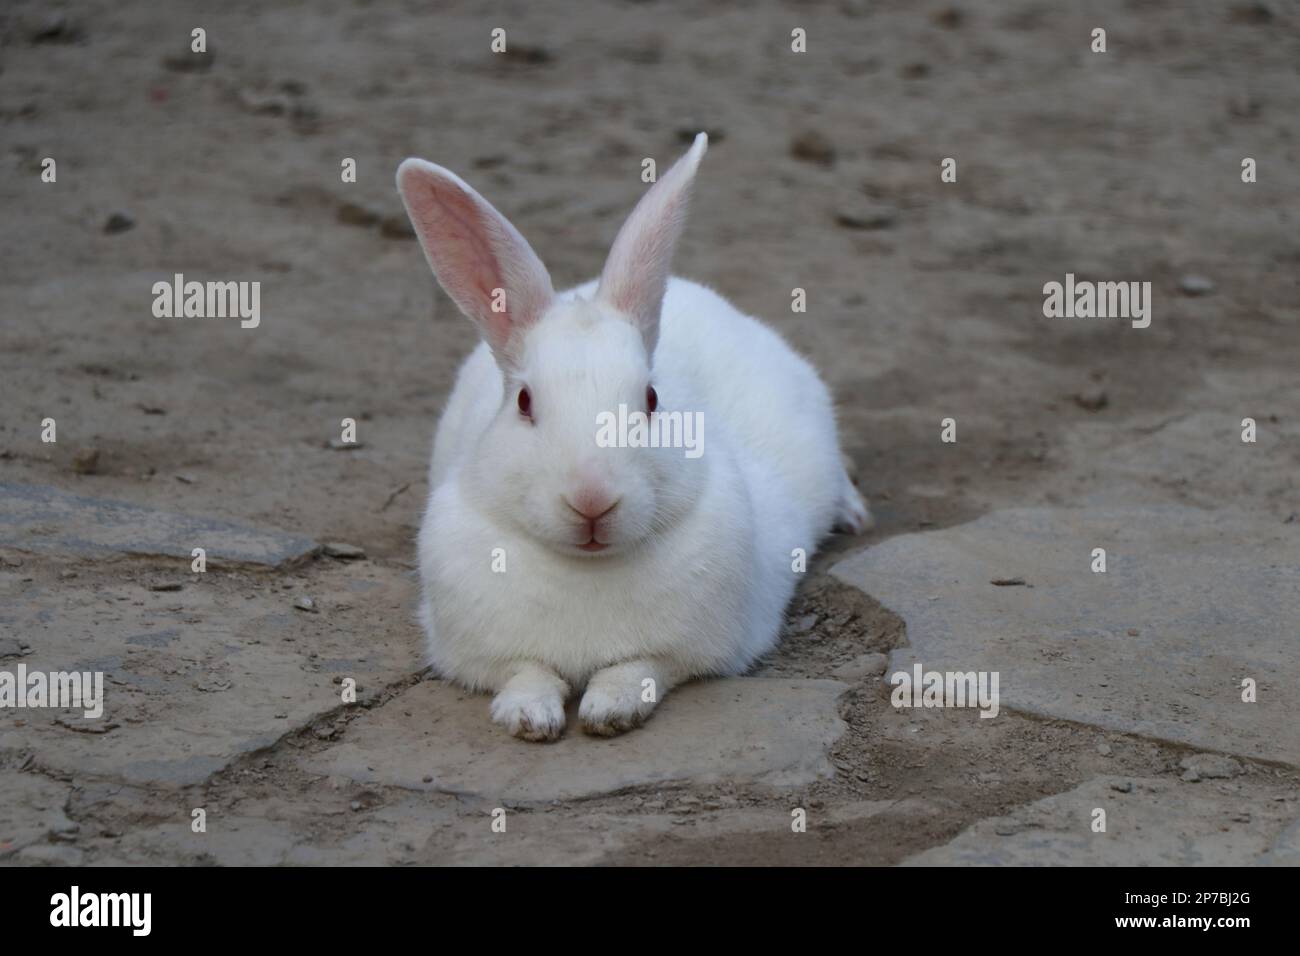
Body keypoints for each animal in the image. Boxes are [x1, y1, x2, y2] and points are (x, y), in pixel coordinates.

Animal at [392, 134, 863, 743]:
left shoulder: (686, 651)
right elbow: (526, 671)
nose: (592, 499)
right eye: (524, 402)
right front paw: (529, 718)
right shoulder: (482, 652)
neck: (588, 568)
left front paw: (609, 711)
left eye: (652, 399)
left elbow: (639, 668)